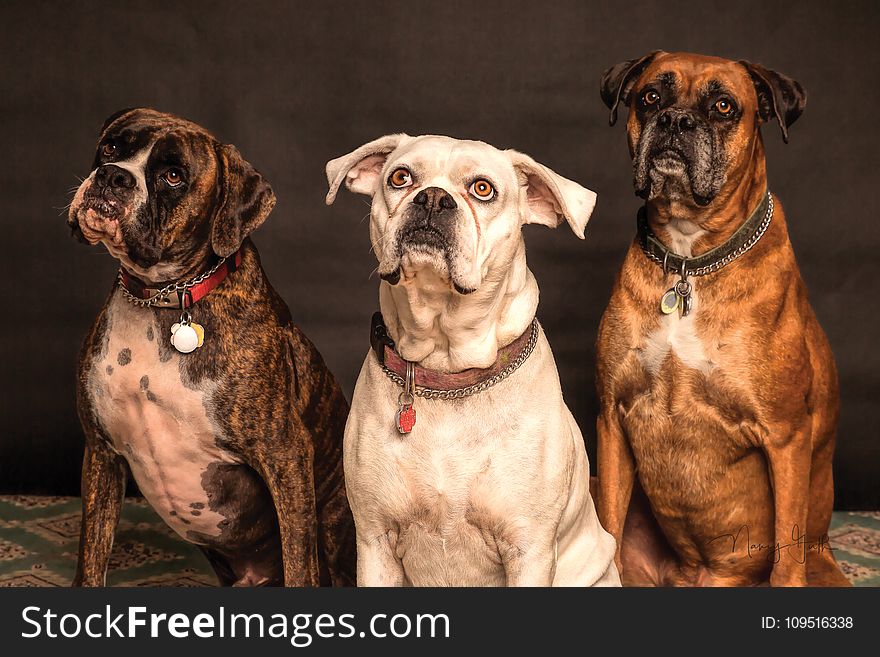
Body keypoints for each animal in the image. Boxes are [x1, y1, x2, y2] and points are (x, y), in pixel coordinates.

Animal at [67, 110, 354, 588]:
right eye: (111, 148)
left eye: (173, 176)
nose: (112, 177)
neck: (163, 299)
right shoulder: (101, 454)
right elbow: (91, 560)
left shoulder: (286, 457)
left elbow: (301, 564)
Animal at [324, 132, 620, 584]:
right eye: (400, 177)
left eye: (483, 189)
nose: (432, 198)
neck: (446, 367)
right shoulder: (374, 543)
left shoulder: (529, 550)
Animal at [596, 51, 848, 584]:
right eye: (651, 96)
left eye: (724, 106)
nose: (675, 121)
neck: (689, 259)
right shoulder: (611, 418)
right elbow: (605, 525)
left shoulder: (786, 437)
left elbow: (786, 559)